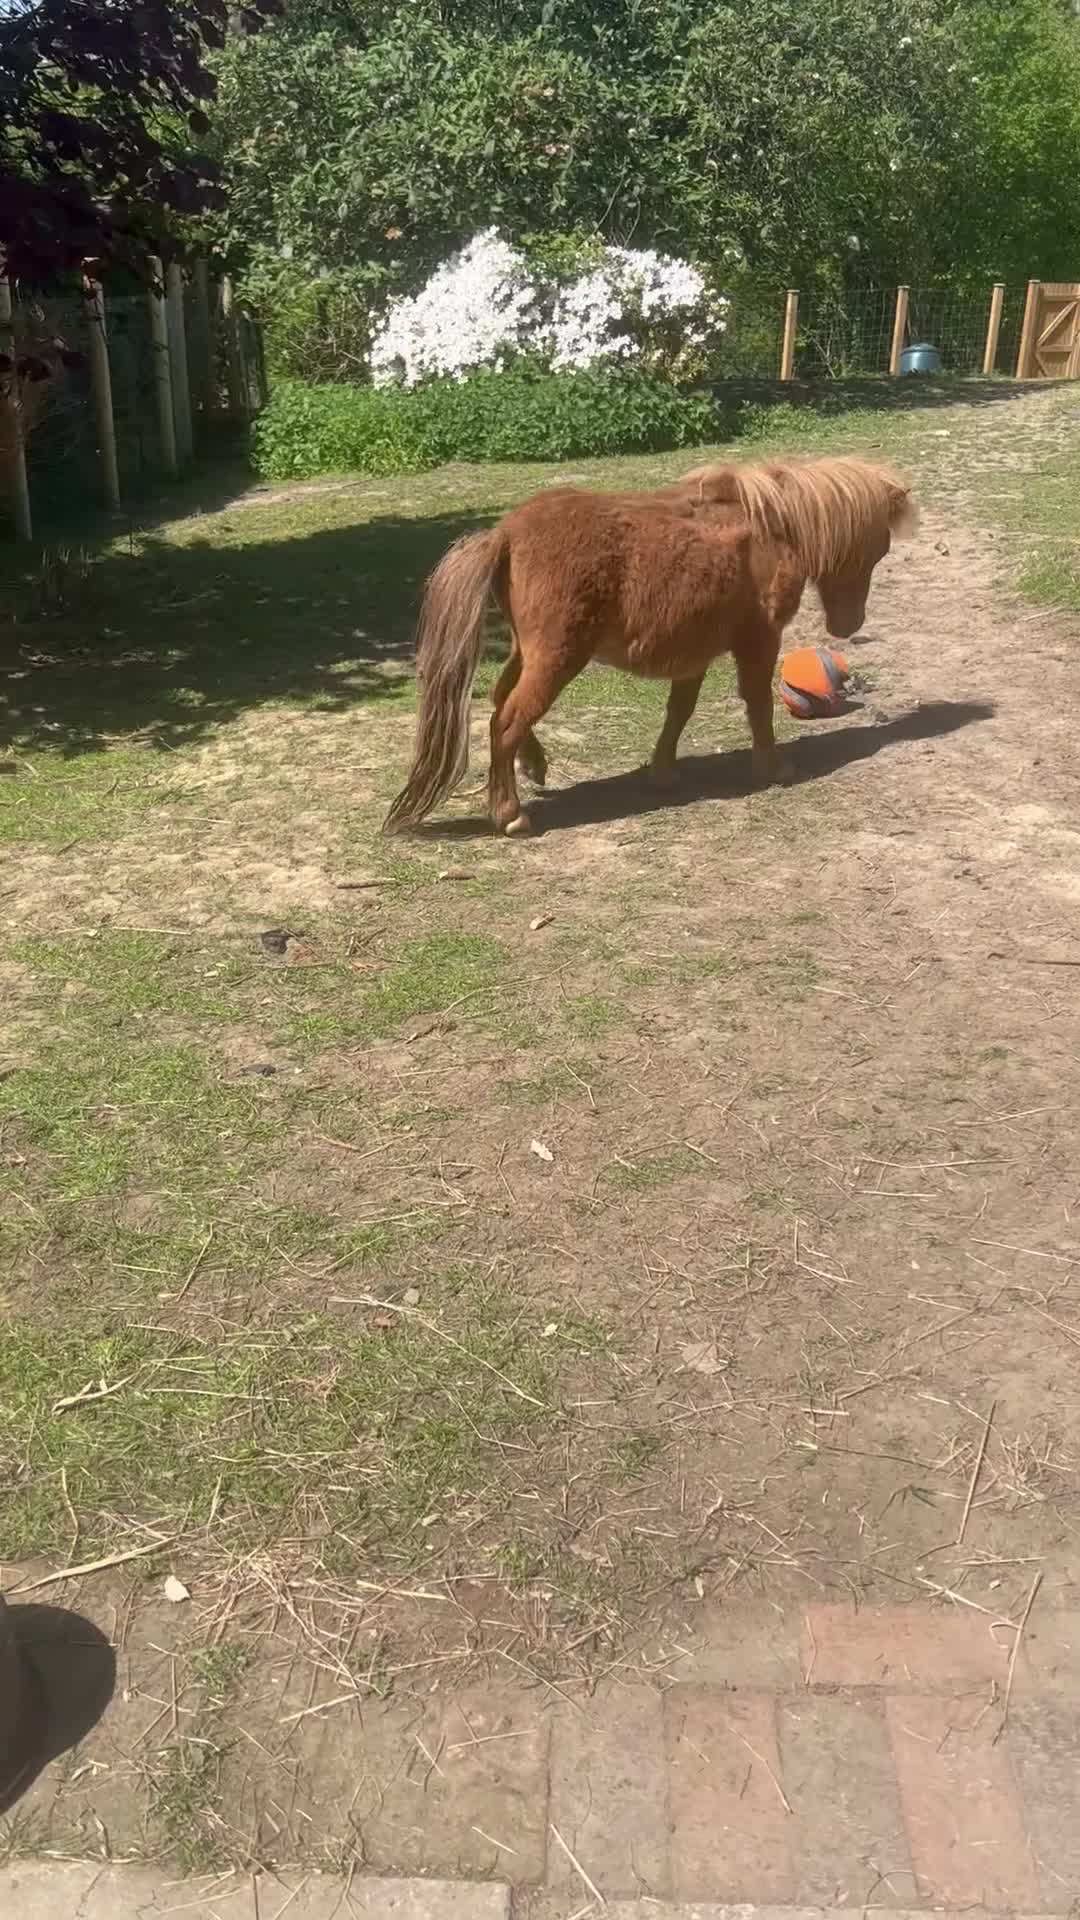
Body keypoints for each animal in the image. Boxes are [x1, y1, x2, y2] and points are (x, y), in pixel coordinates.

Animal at [383, 455, 915, 837]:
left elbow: (679, 711)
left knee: (500, 702)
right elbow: (759, 704)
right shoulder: (759, 641)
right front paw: (772, 767)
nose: (850, 625)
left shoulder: (694, 653)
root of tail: (506, 533)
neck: (767, 529)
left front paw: (663, 773)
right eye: (875, 548)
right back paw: (510, 814)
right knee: (509, 718)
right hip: (556, 659)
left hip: (526, 652)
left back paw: (534, 766)